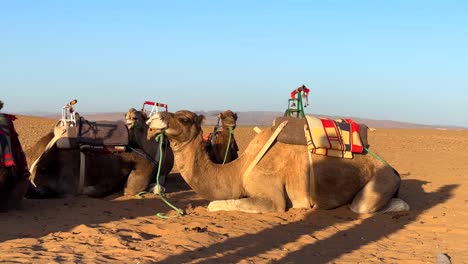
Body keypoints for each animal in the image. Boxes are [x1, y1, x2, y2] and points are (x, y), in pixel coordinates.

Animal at [148, 110, 412, 213]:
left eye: (183, 119)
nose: (153, 118)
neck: (238, 170)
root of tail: (393, 169)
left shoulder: (273, 196)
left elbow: (217, 204)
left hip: (381, 179)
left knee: (363, 206)